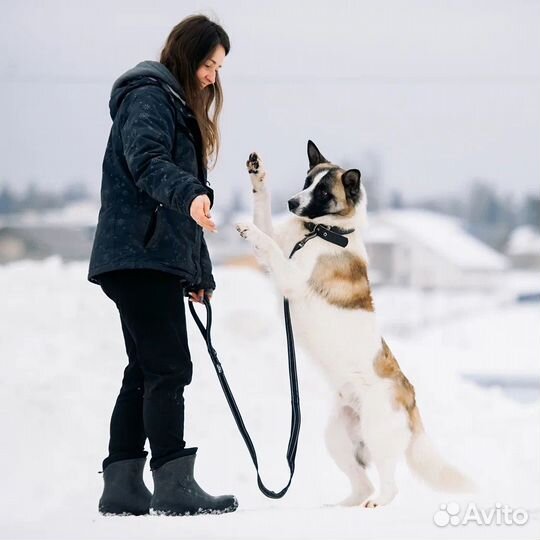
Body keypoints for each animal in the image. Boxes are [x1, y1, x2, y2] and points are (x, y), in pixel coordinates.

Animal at [235, 140, 472, 506]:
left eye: (323, 191)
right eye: (307, 181)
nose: (291, 204)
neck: (323, 232)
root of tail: (410, 397)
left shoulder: (291, 278)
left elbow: (268, 243)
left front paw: (252, 230)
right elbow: (262, 206)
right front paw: (257, 172)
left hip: (376, 434)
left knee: (388, 485)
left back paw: (376, 503)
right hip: (336, 438)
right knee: (363, 483)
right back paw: (344, 505)